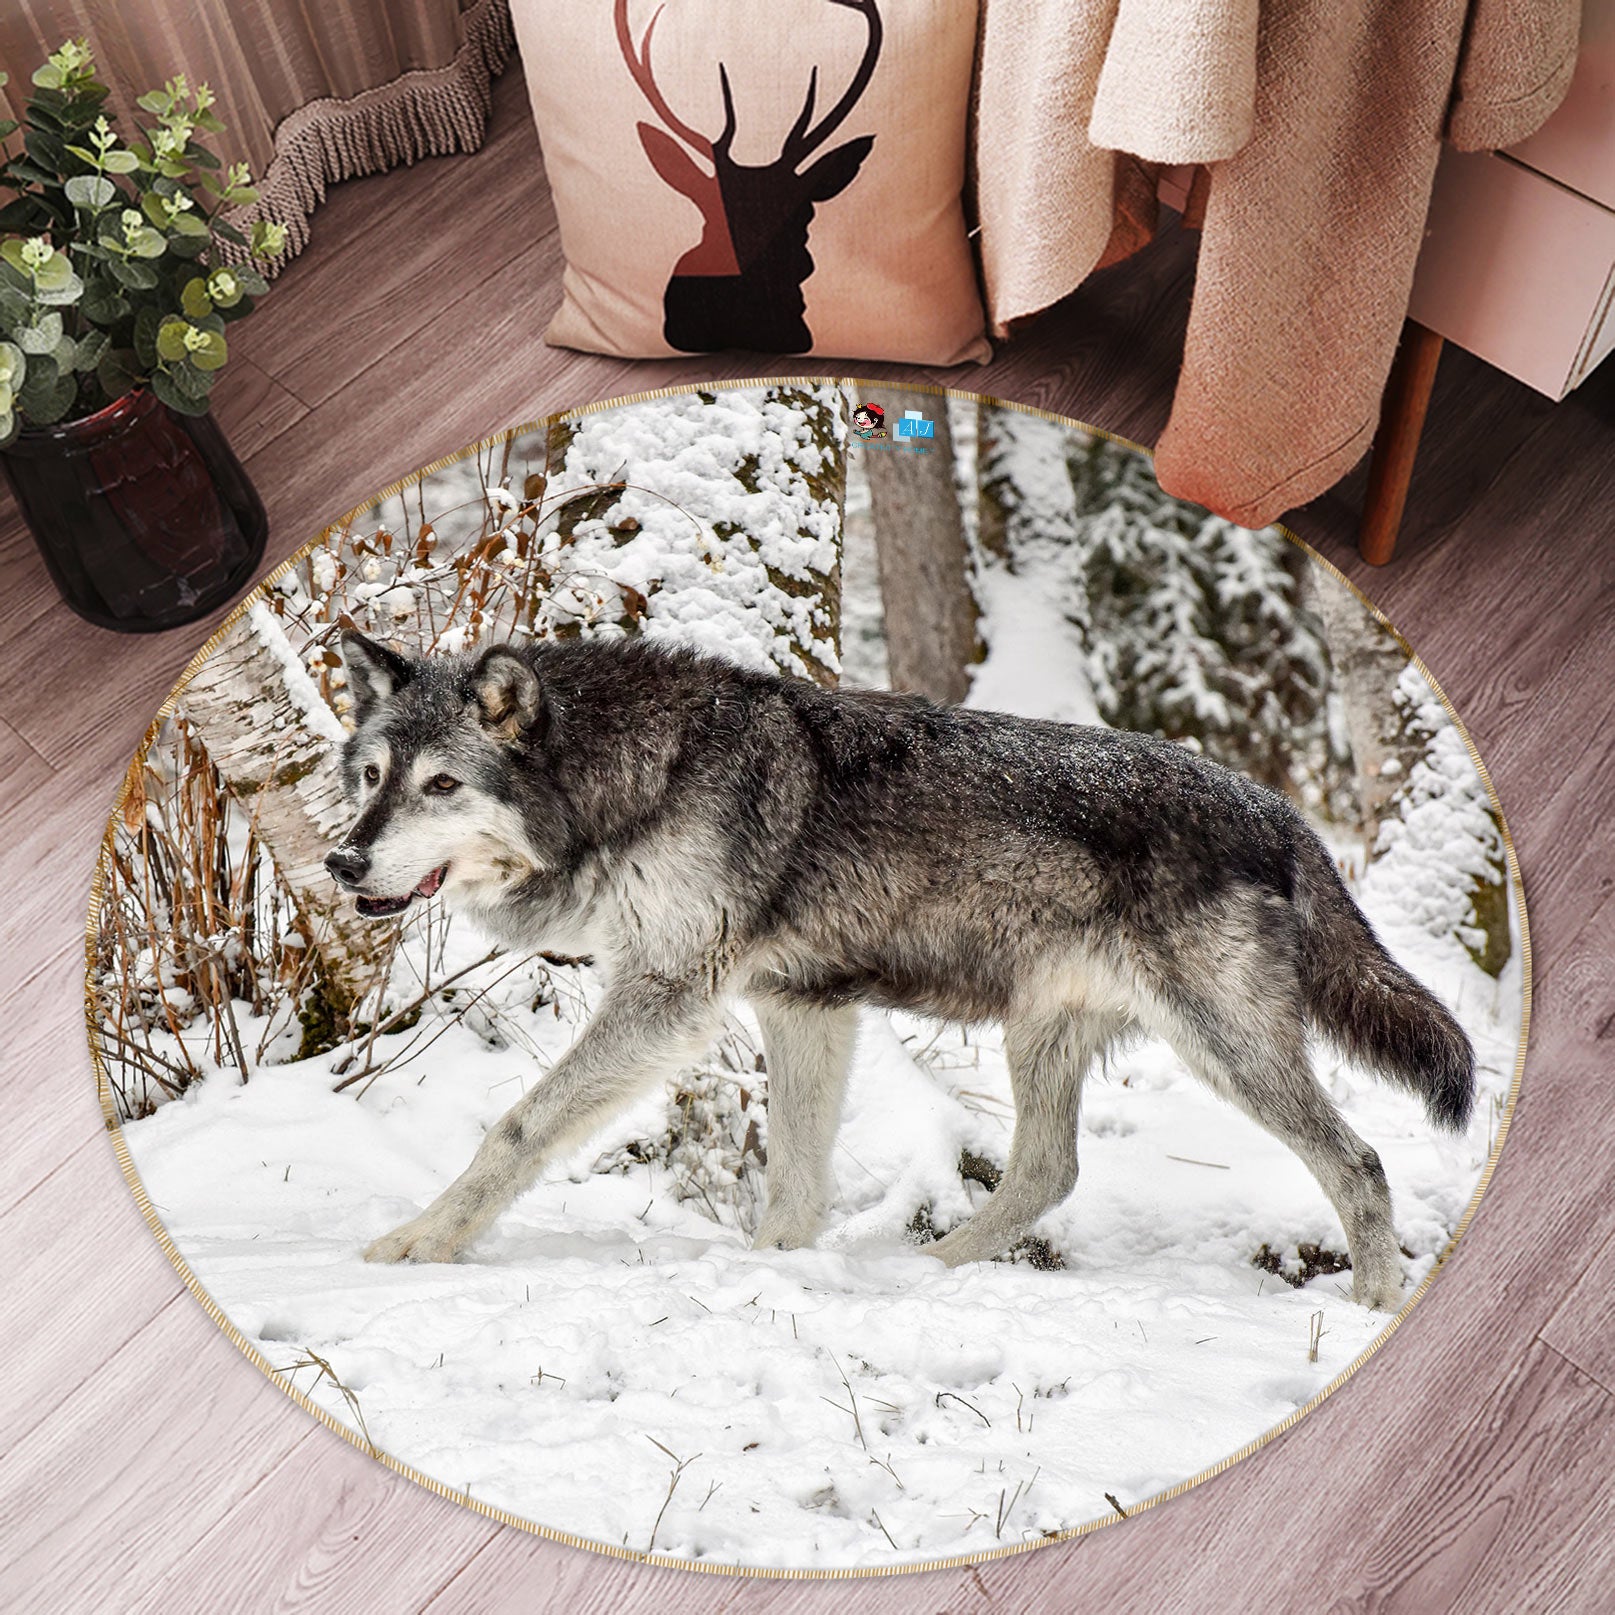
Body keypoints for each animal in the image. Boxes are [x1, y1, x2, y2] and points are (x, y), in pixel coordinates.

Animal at [325, 629, 1475, 1311]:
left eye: (440, 784)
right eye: (372, 776)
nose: (340, 861)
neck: (642, 777)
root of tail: (1280, 813)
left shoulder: (667, 1000)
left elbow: (515, 1128)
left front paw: (418, 1242)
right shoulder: (803, 1006)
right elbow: (794, 1179)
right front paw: (776, 1275)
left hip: (1224, 1048)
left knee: (1359, 1161)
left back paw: (1372, 1308)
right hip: (1041, 1036)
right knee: (1048, 1169)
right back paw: (926, 1273)